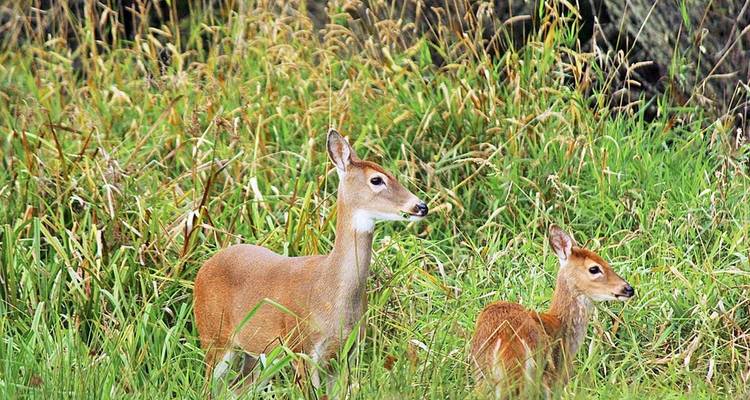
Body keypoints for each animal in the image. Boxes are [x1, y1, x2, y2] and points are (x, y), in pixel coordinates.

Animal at [193, 129, 428, 392]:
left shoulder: (346, 353)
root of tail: (205, 266)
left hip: (257, 353)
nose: (421, 206)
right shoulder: (301, 349)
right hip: (214, 336)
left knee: (237, 388)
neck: (331, 292)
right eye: (377, 180)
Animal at [470, 225, 634, 398]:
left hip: (482, 376)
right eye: (594, 268)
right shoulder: (556, 377)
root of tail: (504, 338)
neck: (561, 324)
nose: (629, 289)